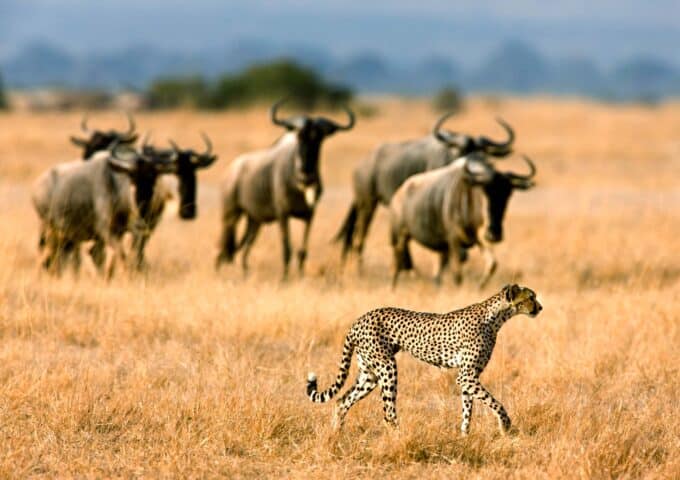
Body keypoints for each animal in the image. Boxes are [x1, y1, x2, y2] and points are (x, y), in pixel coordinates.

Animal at [306, 284, 540, 436]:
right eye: (530, 297)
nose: (540, 307)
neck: (496, 317)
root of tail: (359, 319)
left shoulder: (468, 378)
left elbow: (468, 410)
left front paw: (464, 437)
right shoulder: (466, 377)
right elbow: (495, 403)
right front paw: (505, 426)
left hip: (369, 374)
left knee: (342, 401)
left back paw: (336, 435)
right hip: (387, 367)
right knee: (387, 412)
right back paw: (400, 436)